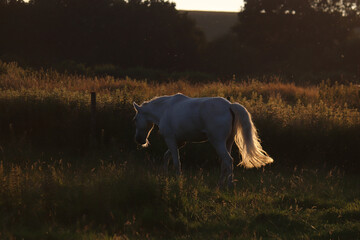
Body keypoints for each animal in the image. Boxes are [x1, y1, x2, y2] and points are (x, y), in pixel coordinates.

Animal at [133, 93, 272, 188]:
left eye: (135, 119)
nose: (139, 140)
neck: (165, 109)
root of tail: (229, 106)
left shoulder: (171, 139)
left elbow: (176, 161)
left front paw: (178, 179)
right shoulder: (180, 142)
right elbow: (167, 156)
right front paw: (165, 175)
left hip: (218, 142)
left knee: (228, 160)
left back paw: (229, 185)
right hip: (228, 142)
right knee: (224, 163)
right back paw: (220, 185)